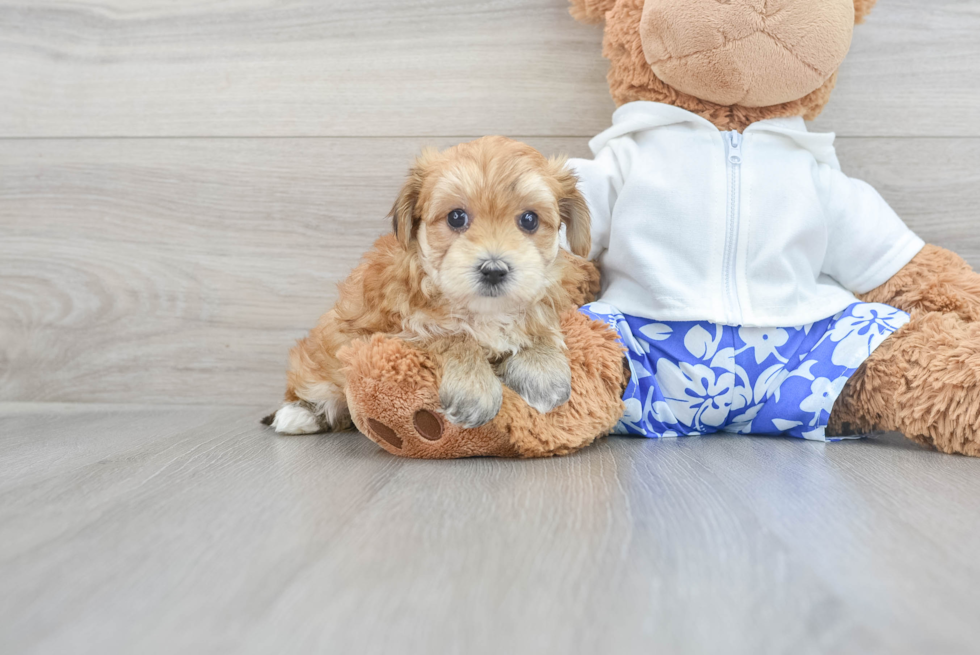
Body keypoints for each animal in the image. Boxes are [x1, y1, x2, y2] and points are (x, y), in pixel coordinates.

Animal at [268, 137, 588, 436]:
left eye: (529, 220)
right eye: (456, 217)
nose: (493, 270)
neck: (483, 311)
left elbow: (537, 324)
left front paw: (543, 368)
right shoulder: (394, 331)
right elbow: (451, 335)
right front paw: (474, 389)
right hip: (319, 360)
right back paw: (299, 414)